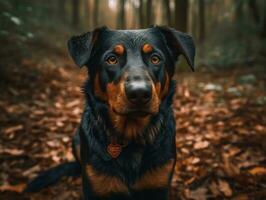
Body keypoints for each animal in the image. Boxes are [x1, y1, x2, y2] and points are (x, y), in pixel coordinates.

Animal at [25, 25, 195, 200]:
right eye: (112, 59)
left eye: (155, 59)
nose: (139, 93)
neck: (131, 136)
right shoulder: (97, 186)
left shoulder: (158, 184)